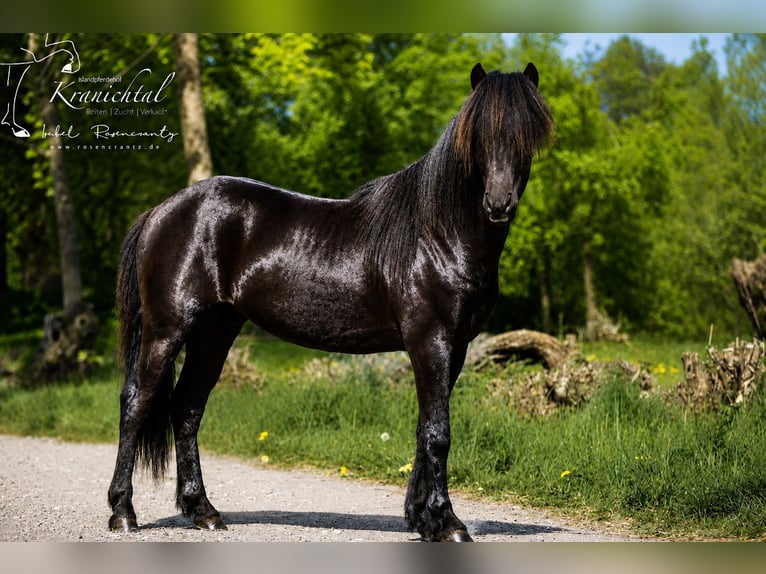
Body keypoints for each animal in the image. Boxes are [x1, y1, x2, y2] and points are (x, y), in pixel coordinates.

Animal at [107, 62, 554, 542]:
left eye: (527, 135)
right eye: (478, 136)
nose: (499, 203)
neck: (436, 235)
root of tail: (160, 211)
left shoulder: (455, 348)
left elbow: (423, 428)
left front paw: (422, 519)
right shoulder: (430, 342)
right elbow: (438, 432)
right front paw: (448, 522)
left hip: (214, 332)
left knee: (187, 408)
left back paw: (203, 511)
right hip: (167, 329)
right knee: (136, 403)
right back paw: (123, 512)